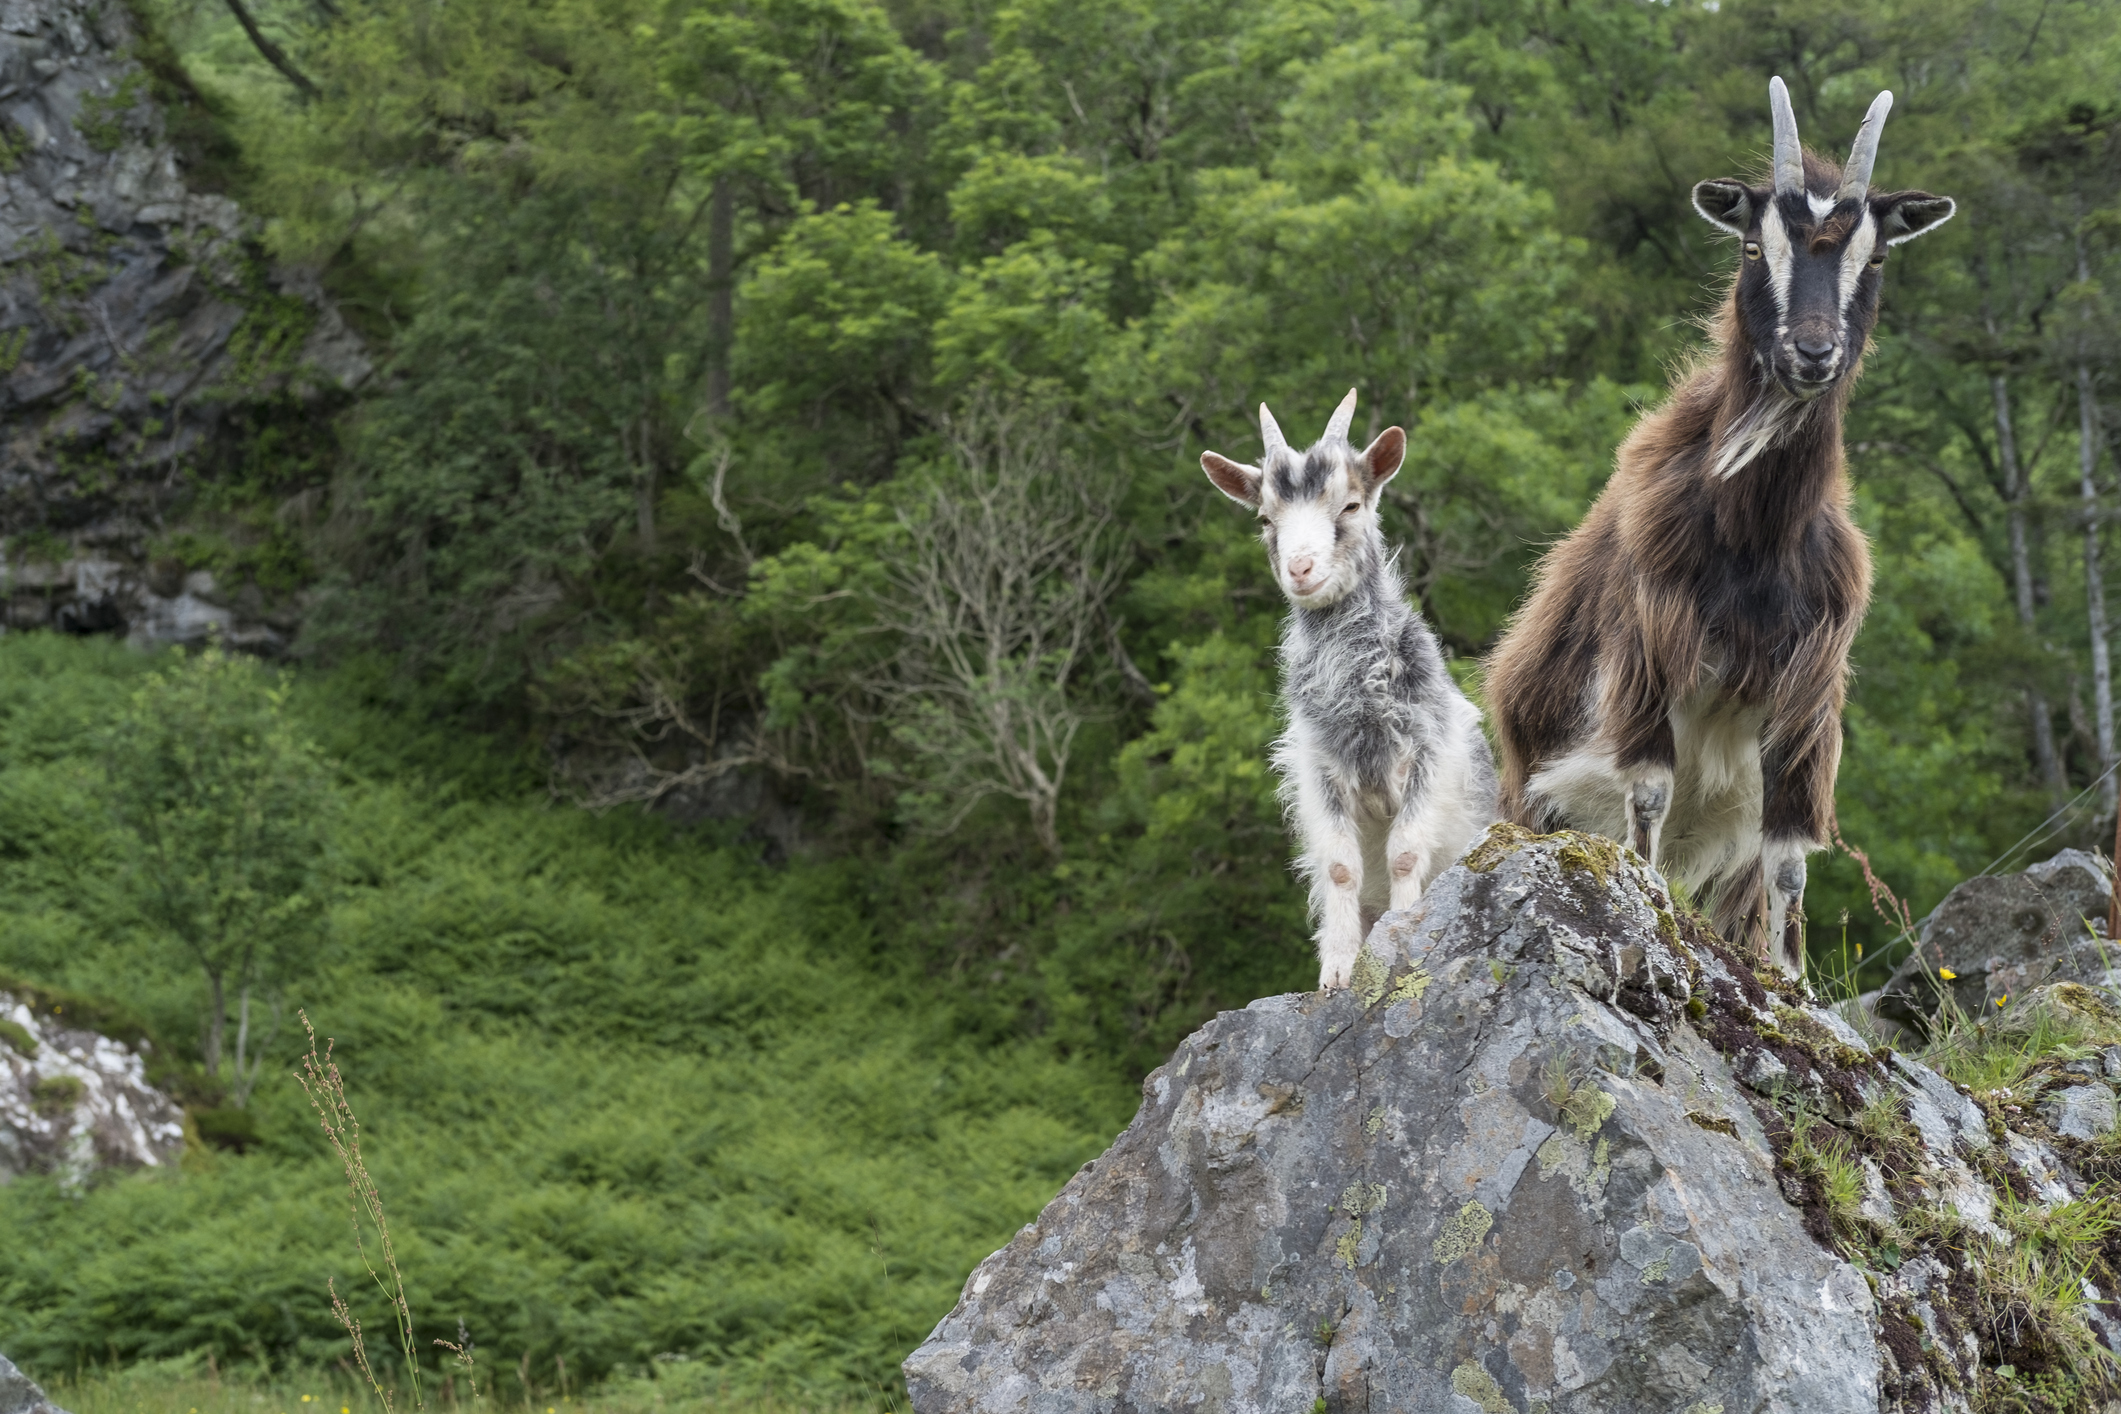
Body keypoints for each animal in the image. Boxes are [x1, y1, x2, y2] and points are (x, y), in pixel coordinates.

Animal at [1202, 390, 1500, 990]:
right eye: (1265, 518)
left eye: (1351, 506)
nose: (1300, 567)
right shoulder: (1321, 771)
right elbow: (1341, 868)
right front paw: (1338, 970)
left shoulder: (1426, 754)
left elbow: (1405, 853)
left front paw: (1403, 933)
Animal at [1483, 79, 1956, 974]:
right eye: (1750, 248)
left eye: (1875, 257)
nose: (1812, 352)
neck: (1755, 541)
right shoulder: (1648, 651)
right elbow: (1648, 792)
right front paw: (1649, 918)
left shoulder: (1807, 693)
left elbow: (1790, 856)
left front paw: (1792, 981)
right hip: (1533, 793)